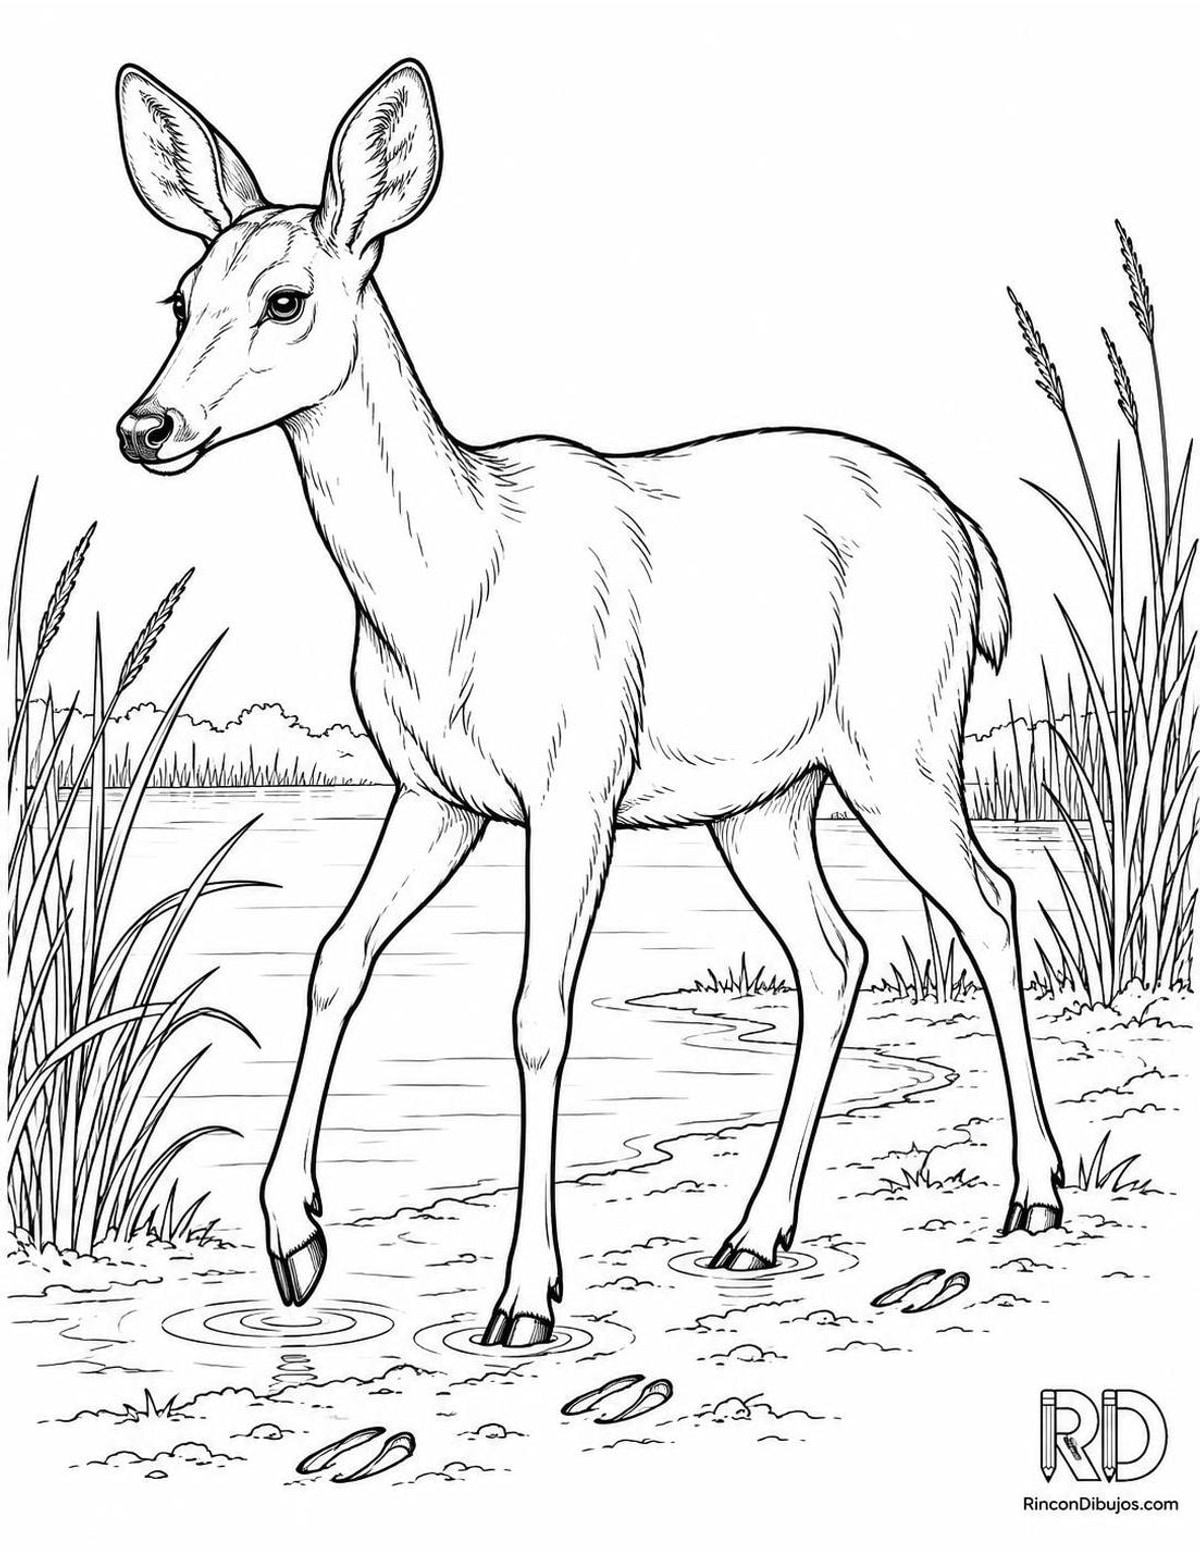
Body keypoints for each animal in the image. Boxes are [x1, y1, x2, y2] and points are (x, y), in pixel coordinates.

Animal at [115, 59, 1065, 1347]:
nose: (144, 426)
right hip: (764, 800)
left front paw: (524, 1298)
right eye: (177, 298)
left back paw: (1034, 1195)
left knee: (992, 902)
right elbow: (333, 955)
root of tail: (970, 537)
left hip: (900, 746)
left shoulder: (574, 781)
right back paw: (753, 1232)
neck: (450, 579)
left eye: (286, 298)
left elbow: (537, 1013)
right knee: (836, 951)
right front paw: (295, 1243)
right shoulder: (434, 790)